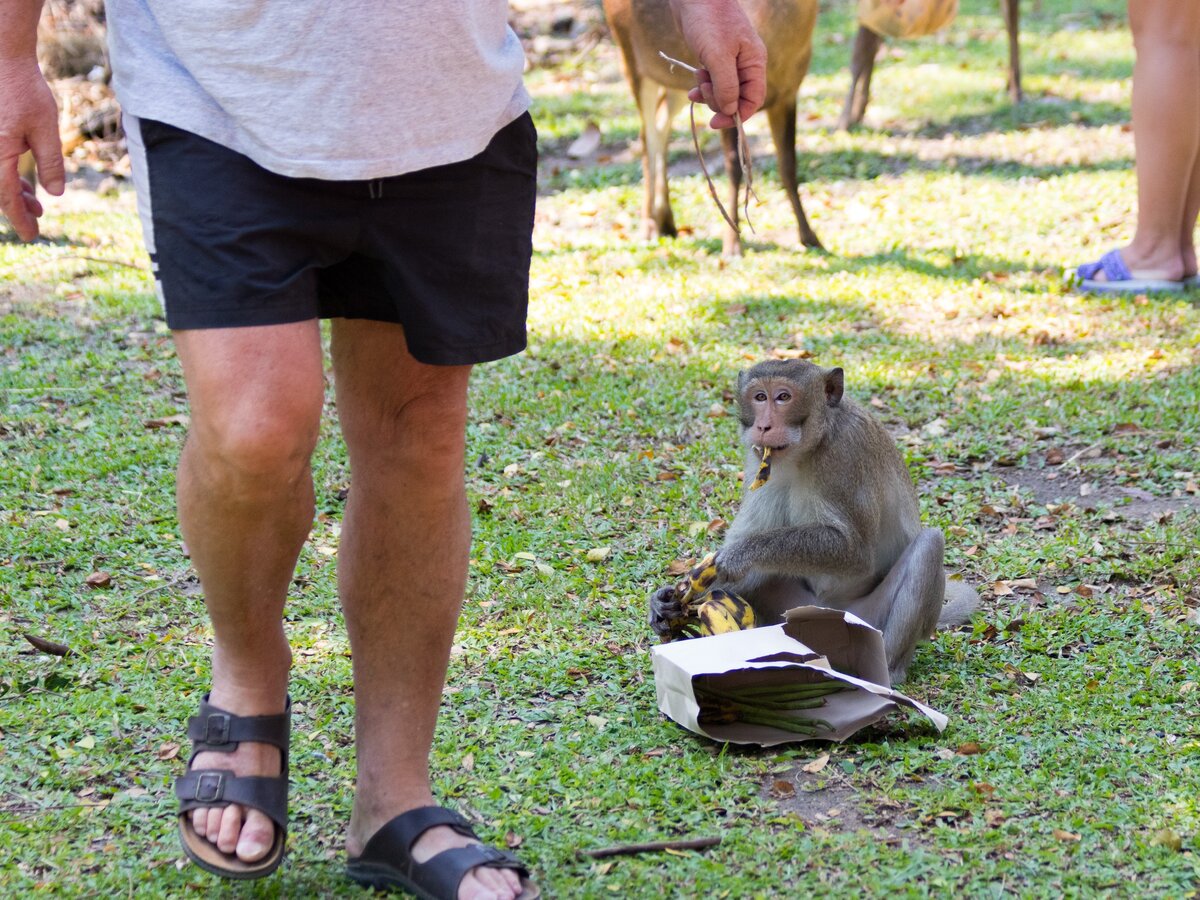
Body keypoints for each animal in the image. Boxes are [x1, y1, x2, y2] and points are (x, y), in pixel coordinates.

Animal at [652, 360, 979, 681]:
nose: (763, 425)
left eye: (783, 397)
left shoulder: (845, 456)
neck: (808, 448)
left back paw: (886, 670)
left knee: (929, 544)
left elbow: (855, 553)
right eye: (760, 397)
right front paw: (665, 602)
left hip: (866, 619)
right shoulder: (759, 461)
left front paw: (740, 553)